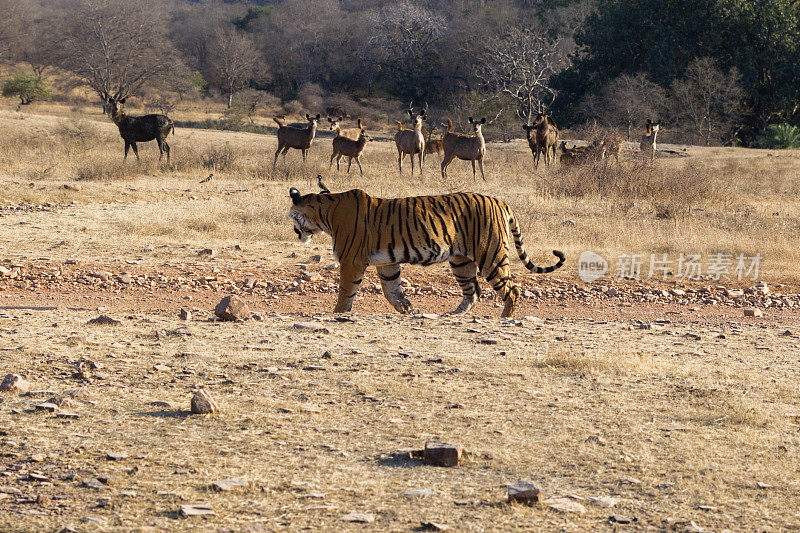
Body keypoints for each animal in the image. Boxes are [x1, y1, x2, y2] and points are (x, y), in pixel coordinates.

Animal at [288, 184, 564, 316]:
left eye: (291, 216)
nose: (293, 230)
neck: (325, 213)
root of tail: (500, 201)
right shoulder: (387, 263)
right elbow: (392, 291)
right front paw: (409, 309)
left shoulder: (351, 261)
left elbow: (346, 291)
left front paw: (337, 313)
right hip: (461, 261)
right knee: (473, 291)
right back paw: (452, 315)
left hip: (490, 254)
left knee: (511, 289)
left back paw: (506, 317)